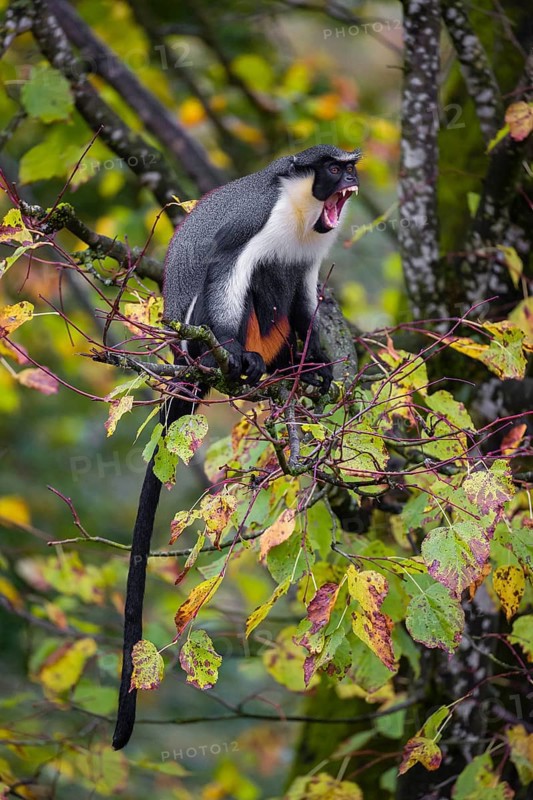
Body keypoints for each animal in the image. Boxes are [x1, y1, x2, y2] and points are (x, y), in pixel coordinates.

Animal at [112, 144, 361, 749]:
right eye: (333, 167)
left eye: (349, 164)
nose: (353, 171)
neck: (301, 210)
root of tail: (184, 362)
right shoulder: (256, 221)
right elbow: (228, 271)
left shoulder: (311, 260)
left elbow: (304, 300)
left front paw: (320, 370)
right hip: (200, 342)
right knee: (253, 284)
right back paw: (243, 366)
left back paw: (299, 375)